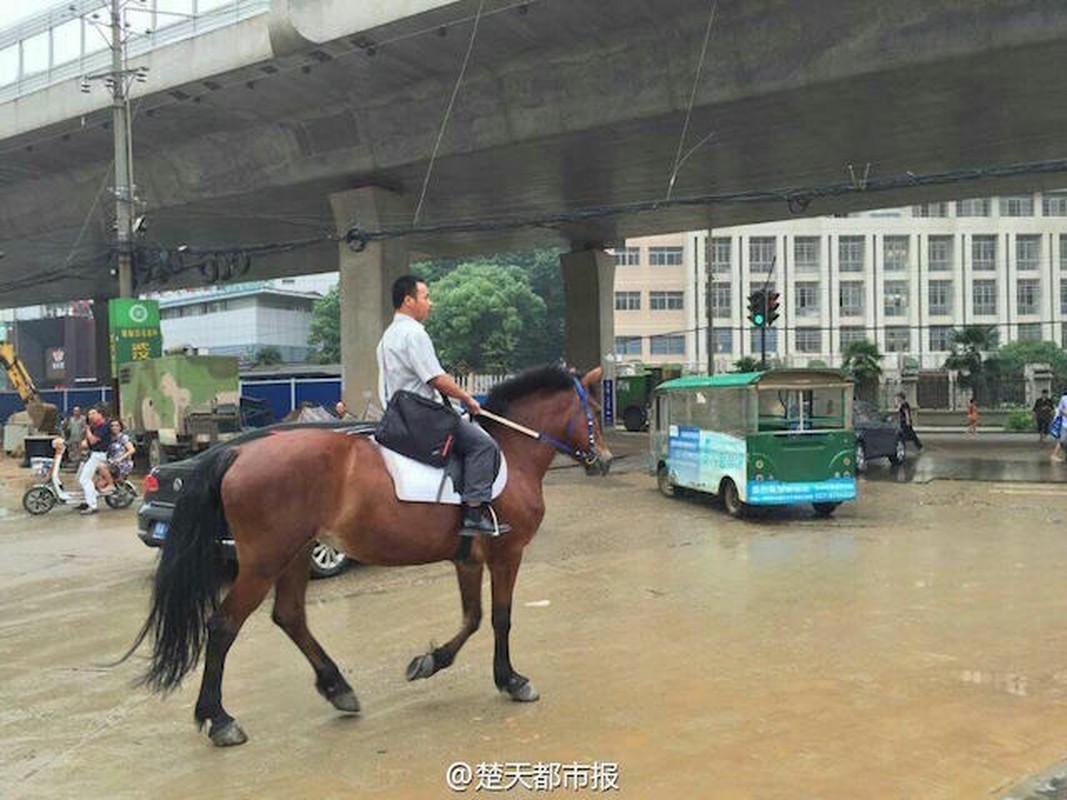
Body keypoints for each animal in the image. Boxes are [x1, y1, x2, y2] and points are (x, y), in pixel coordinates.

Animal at [125, 366, 614, 750]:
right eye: (593, 411)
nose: (605, 461)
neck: (511, 452)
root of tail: (239, 449)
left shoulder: (468, 560)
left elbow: (473, 618)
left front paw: (429, 663)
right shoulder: (506, 555)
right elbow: (500, 618)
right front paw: (512, 680)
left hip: (295, 554)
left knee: (290, 616)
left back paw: (338, 688)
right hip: (264, 562)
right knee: (223, 625)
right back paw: (220, 719)